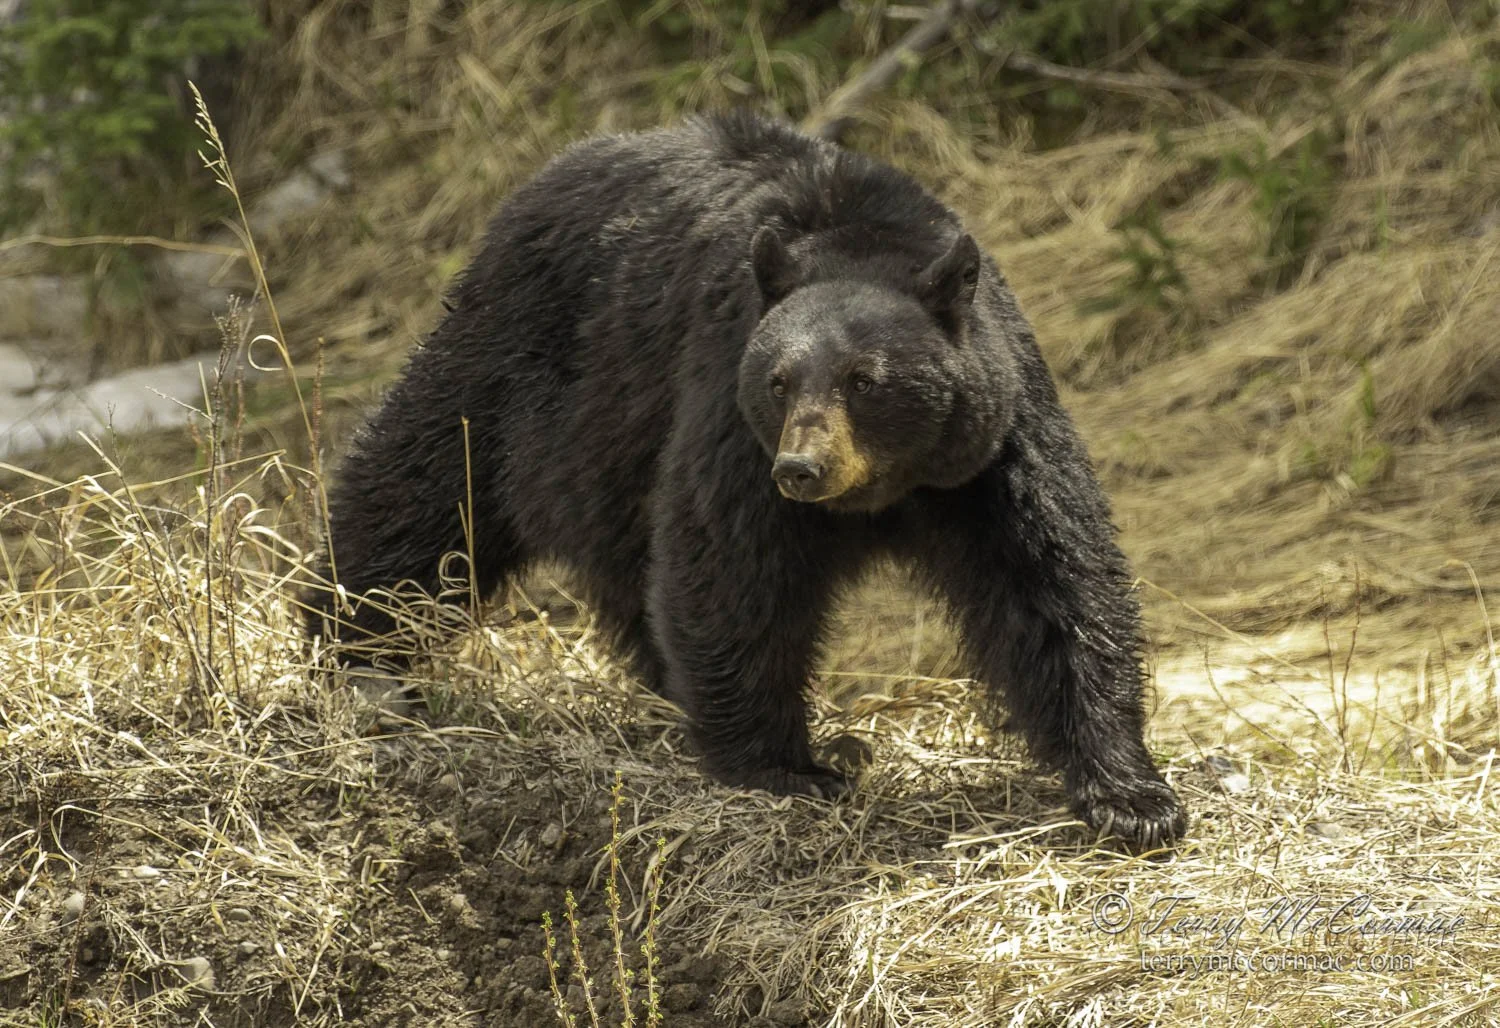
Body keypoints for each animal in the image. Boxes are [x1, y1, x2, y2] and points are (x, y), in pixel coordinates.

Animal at [306, 110, 1186, 849]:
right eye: (779, 380)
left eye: (865, 380)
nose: (802, 469)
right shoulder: (728, 407)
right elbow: (731, 571)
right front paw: (788, 769)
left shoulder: (992, 448)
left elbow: (1050, 580)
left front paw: (1132, 797)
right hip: (523, 359)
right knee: (423, 485)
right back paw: (355, 647)